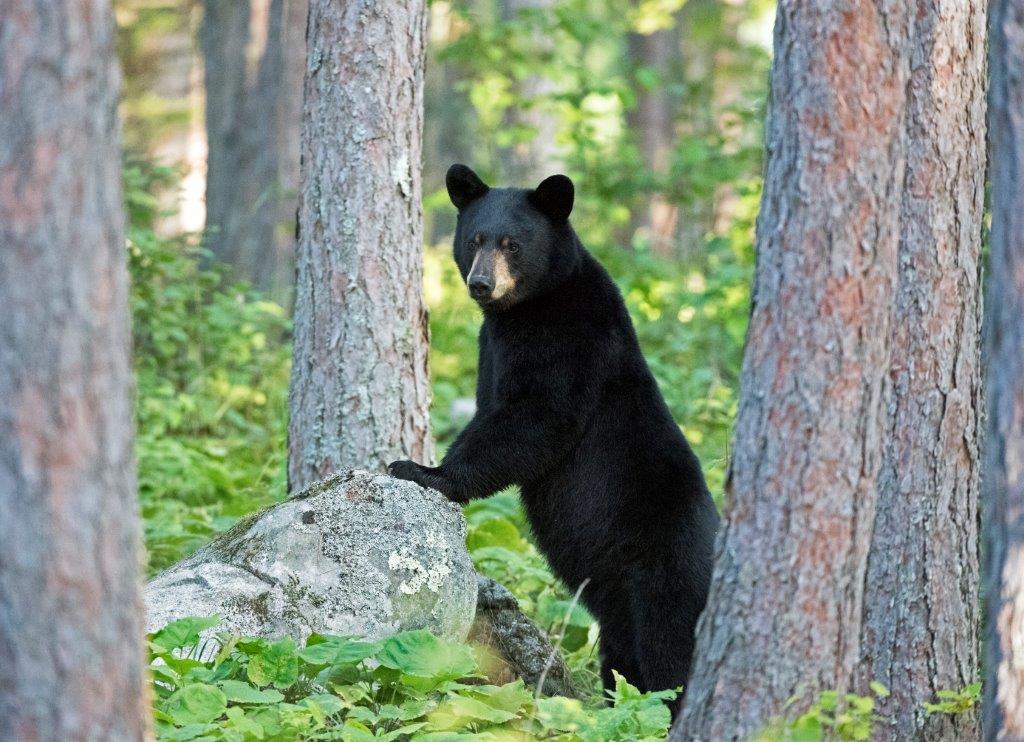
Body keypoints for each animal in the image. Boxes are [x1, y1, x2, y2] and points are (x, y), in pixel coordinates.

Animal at [389, 163, 719, 700]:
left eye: (512, 243)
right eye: (474, 239)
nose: (481, 283)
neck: (527, 306)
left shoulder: (569, 338)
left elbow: (538, 417)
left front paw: (423, 470)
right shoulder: (491, 346)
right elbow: (490, 410)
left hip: (664, 572)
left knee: (667, 652)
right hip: (619, 603)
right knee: (623, 656)